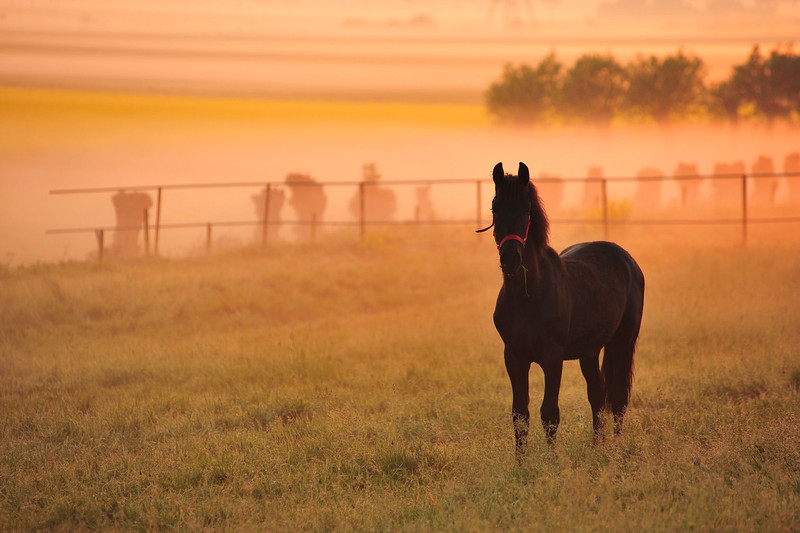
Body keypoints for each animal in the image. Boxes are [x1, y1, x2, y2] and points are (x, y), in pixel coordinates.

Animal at [479, 162, 645, 461]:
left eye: (527, 209)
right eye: (495, 208)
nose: (510, 260)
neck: (527, 296)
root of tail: (628, 260)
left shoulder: (552, 358)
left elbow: (549, 413)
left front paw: (552, 461)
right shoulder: (514, 357)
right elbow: (520, 415)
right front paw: (520, 463)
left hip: (623, 342)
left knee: (618, 396)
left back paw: (616, 446)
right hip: (590, 351)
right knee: (597, 392)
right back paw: (597, 446)